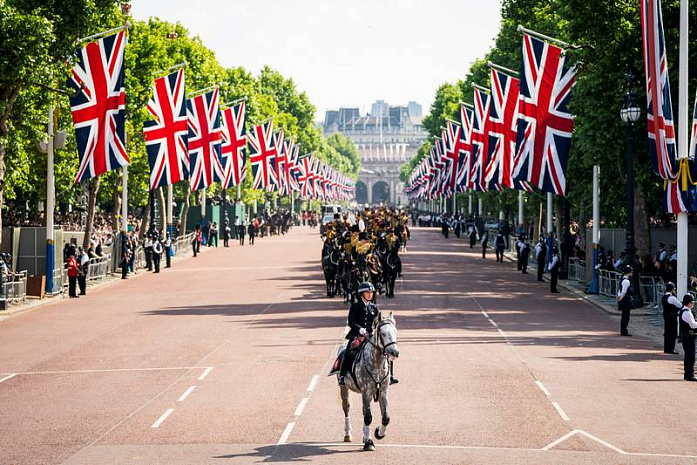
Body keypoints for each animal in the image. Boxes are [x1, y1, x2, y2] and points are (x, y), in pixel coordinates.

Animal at [338, 312, 400, 450]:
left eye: (395, 331)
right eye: (383, 333)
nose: (395, 352)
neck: (377, 363)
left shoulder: (382, 391)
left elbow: (385, 417)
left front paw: (378, 433)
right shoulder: (366, 391)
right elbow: (368, 417)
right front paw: (369, 442)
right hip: (344, 387)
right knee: (346, 408)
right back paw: (348, 434)